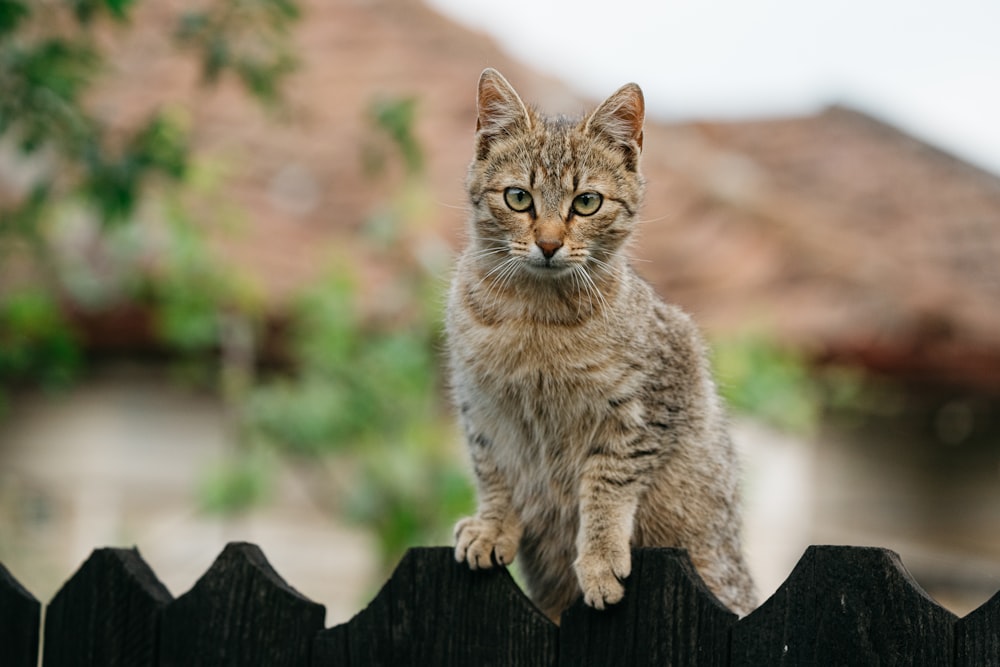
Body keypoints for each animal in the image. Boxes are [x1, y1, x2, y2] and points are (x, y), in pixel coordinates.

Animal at [448, 68, 756, 620]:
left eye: (586, 202)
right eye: (518, 197)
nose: (549, 244)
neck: (535, 317)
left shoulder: (647, 406)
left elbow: (607, 487)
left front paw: (598, 558)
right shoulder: (481, 407)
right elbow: (495, 472)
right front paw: (493, 526)